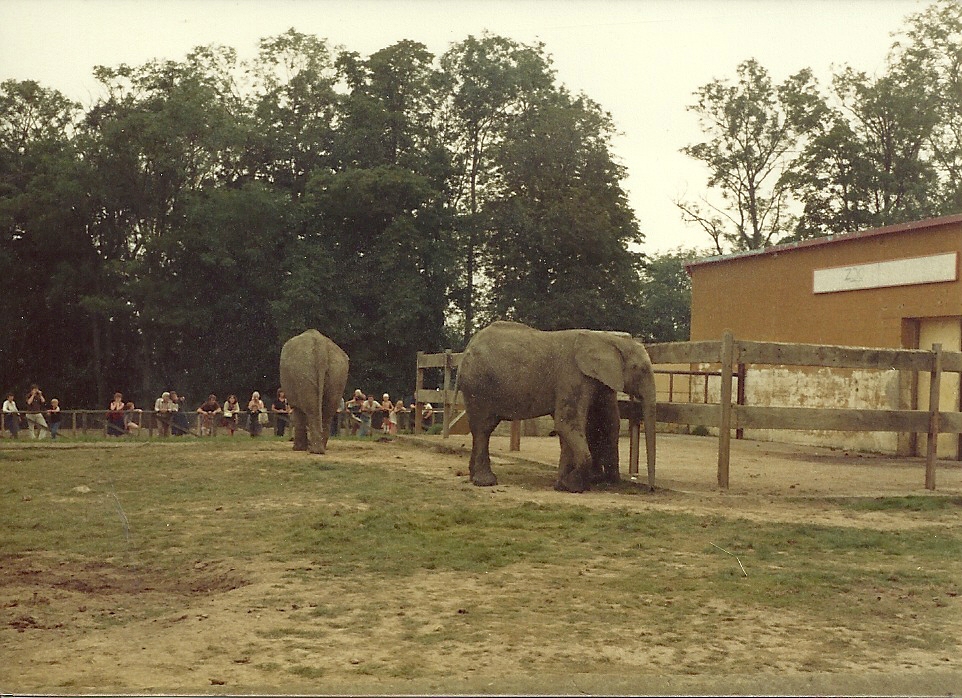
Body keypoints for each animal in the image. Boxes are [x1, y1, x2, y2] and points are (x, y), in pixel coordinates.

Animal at [458, 321, 657, 493]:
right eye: (640, 369)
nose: (651, 489)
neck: (605, 338)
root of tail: (469, 345)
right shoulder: (572, 377)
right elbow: (567, 424)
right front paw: (573, 486)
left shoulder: (597, 381)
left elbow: (598, 424)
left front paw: (563, 485)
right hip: (478, 386)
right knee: (484, 428)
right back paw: (485, 482)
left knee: (482, 429)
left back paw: (474, 477)